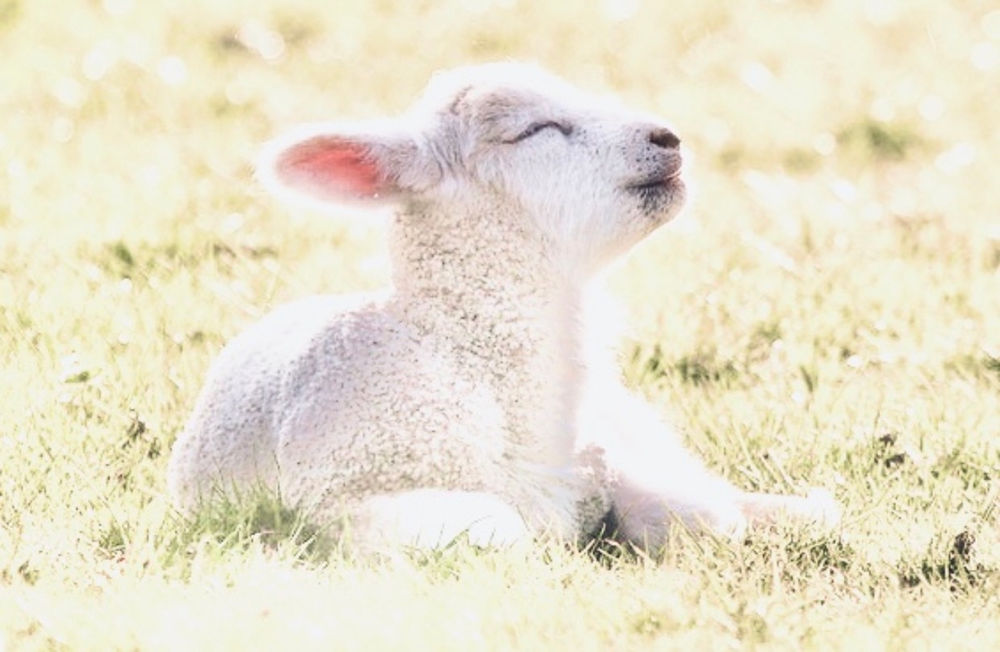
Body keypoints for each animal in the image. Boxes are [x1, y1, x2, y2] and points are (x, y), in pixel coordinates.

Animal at [166, 62, 840, 551]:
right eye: (534, 129)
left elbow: (699, 514)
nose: (666, 138)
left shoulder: (608, 459)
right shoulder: (342, 498)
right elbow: (502, 529)